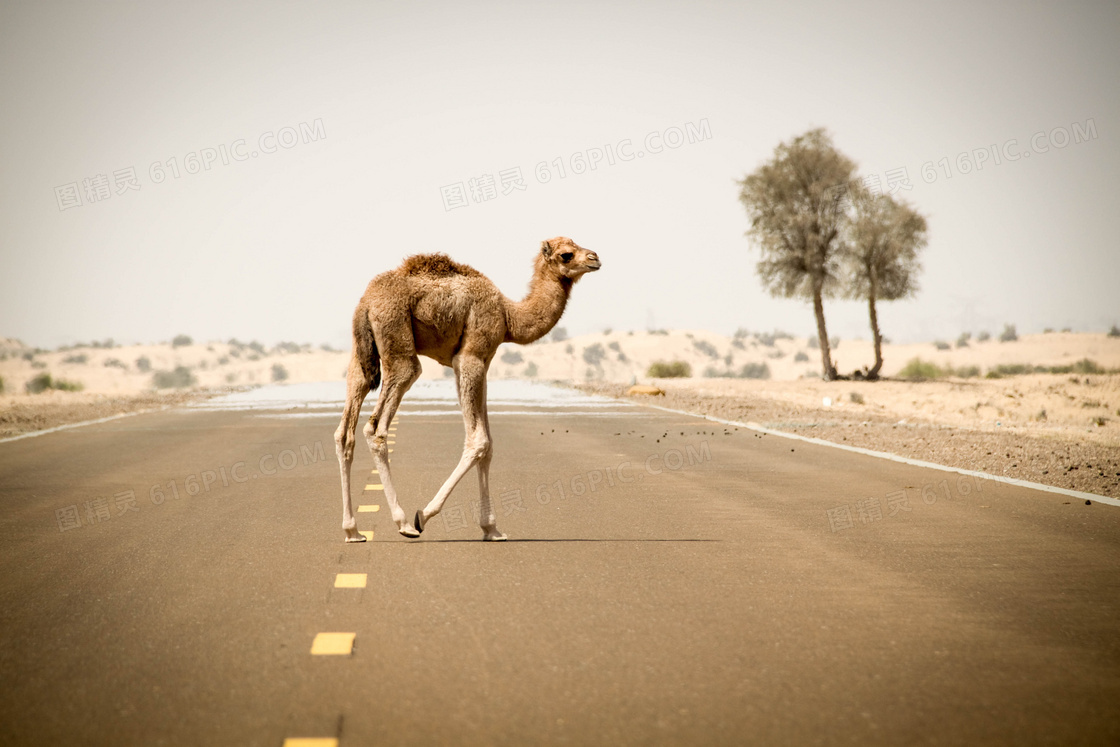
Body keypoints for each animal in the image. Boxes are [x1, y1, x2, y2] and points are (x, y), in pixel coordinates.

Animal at [331, 236, 600, 539]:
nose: (595, 258)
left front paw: (492, 529)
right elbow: (479, 440)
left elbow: (489, 444)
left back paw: (352, 531)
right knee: (376, 426)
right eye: (567, 255)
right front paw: (424, 515)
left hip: (361, 356)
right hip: (397, 341)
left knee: (345, 430)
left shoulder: (482, 362)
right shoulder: (470, 357)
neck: (508, 316)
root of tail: (365, 304)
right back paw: (403, 523)